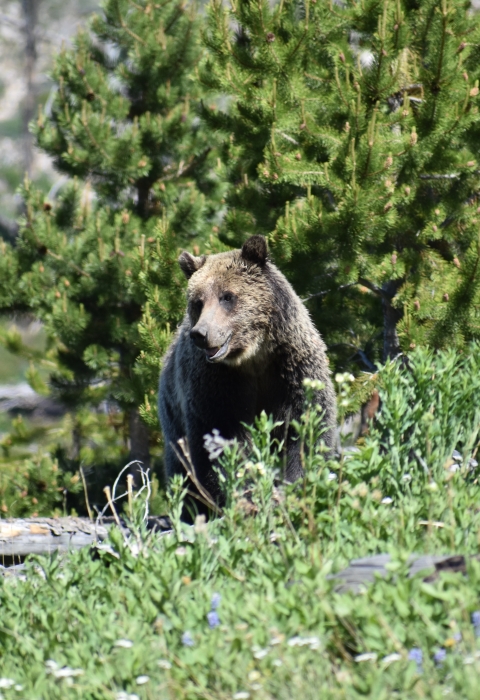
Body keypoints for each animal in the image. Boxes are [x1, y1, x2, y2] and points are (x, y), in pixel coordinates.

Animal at [158, 235, 336, 508]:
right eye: (198, 302)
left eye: (227, 296)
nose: (201, 333)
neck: (253, 356)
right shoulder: (216, 386)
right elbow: (218, 441)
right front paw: (242, 497)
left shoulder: (292, 371)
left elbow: (305, 428)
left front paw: (294, 487)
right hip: (173, 420)